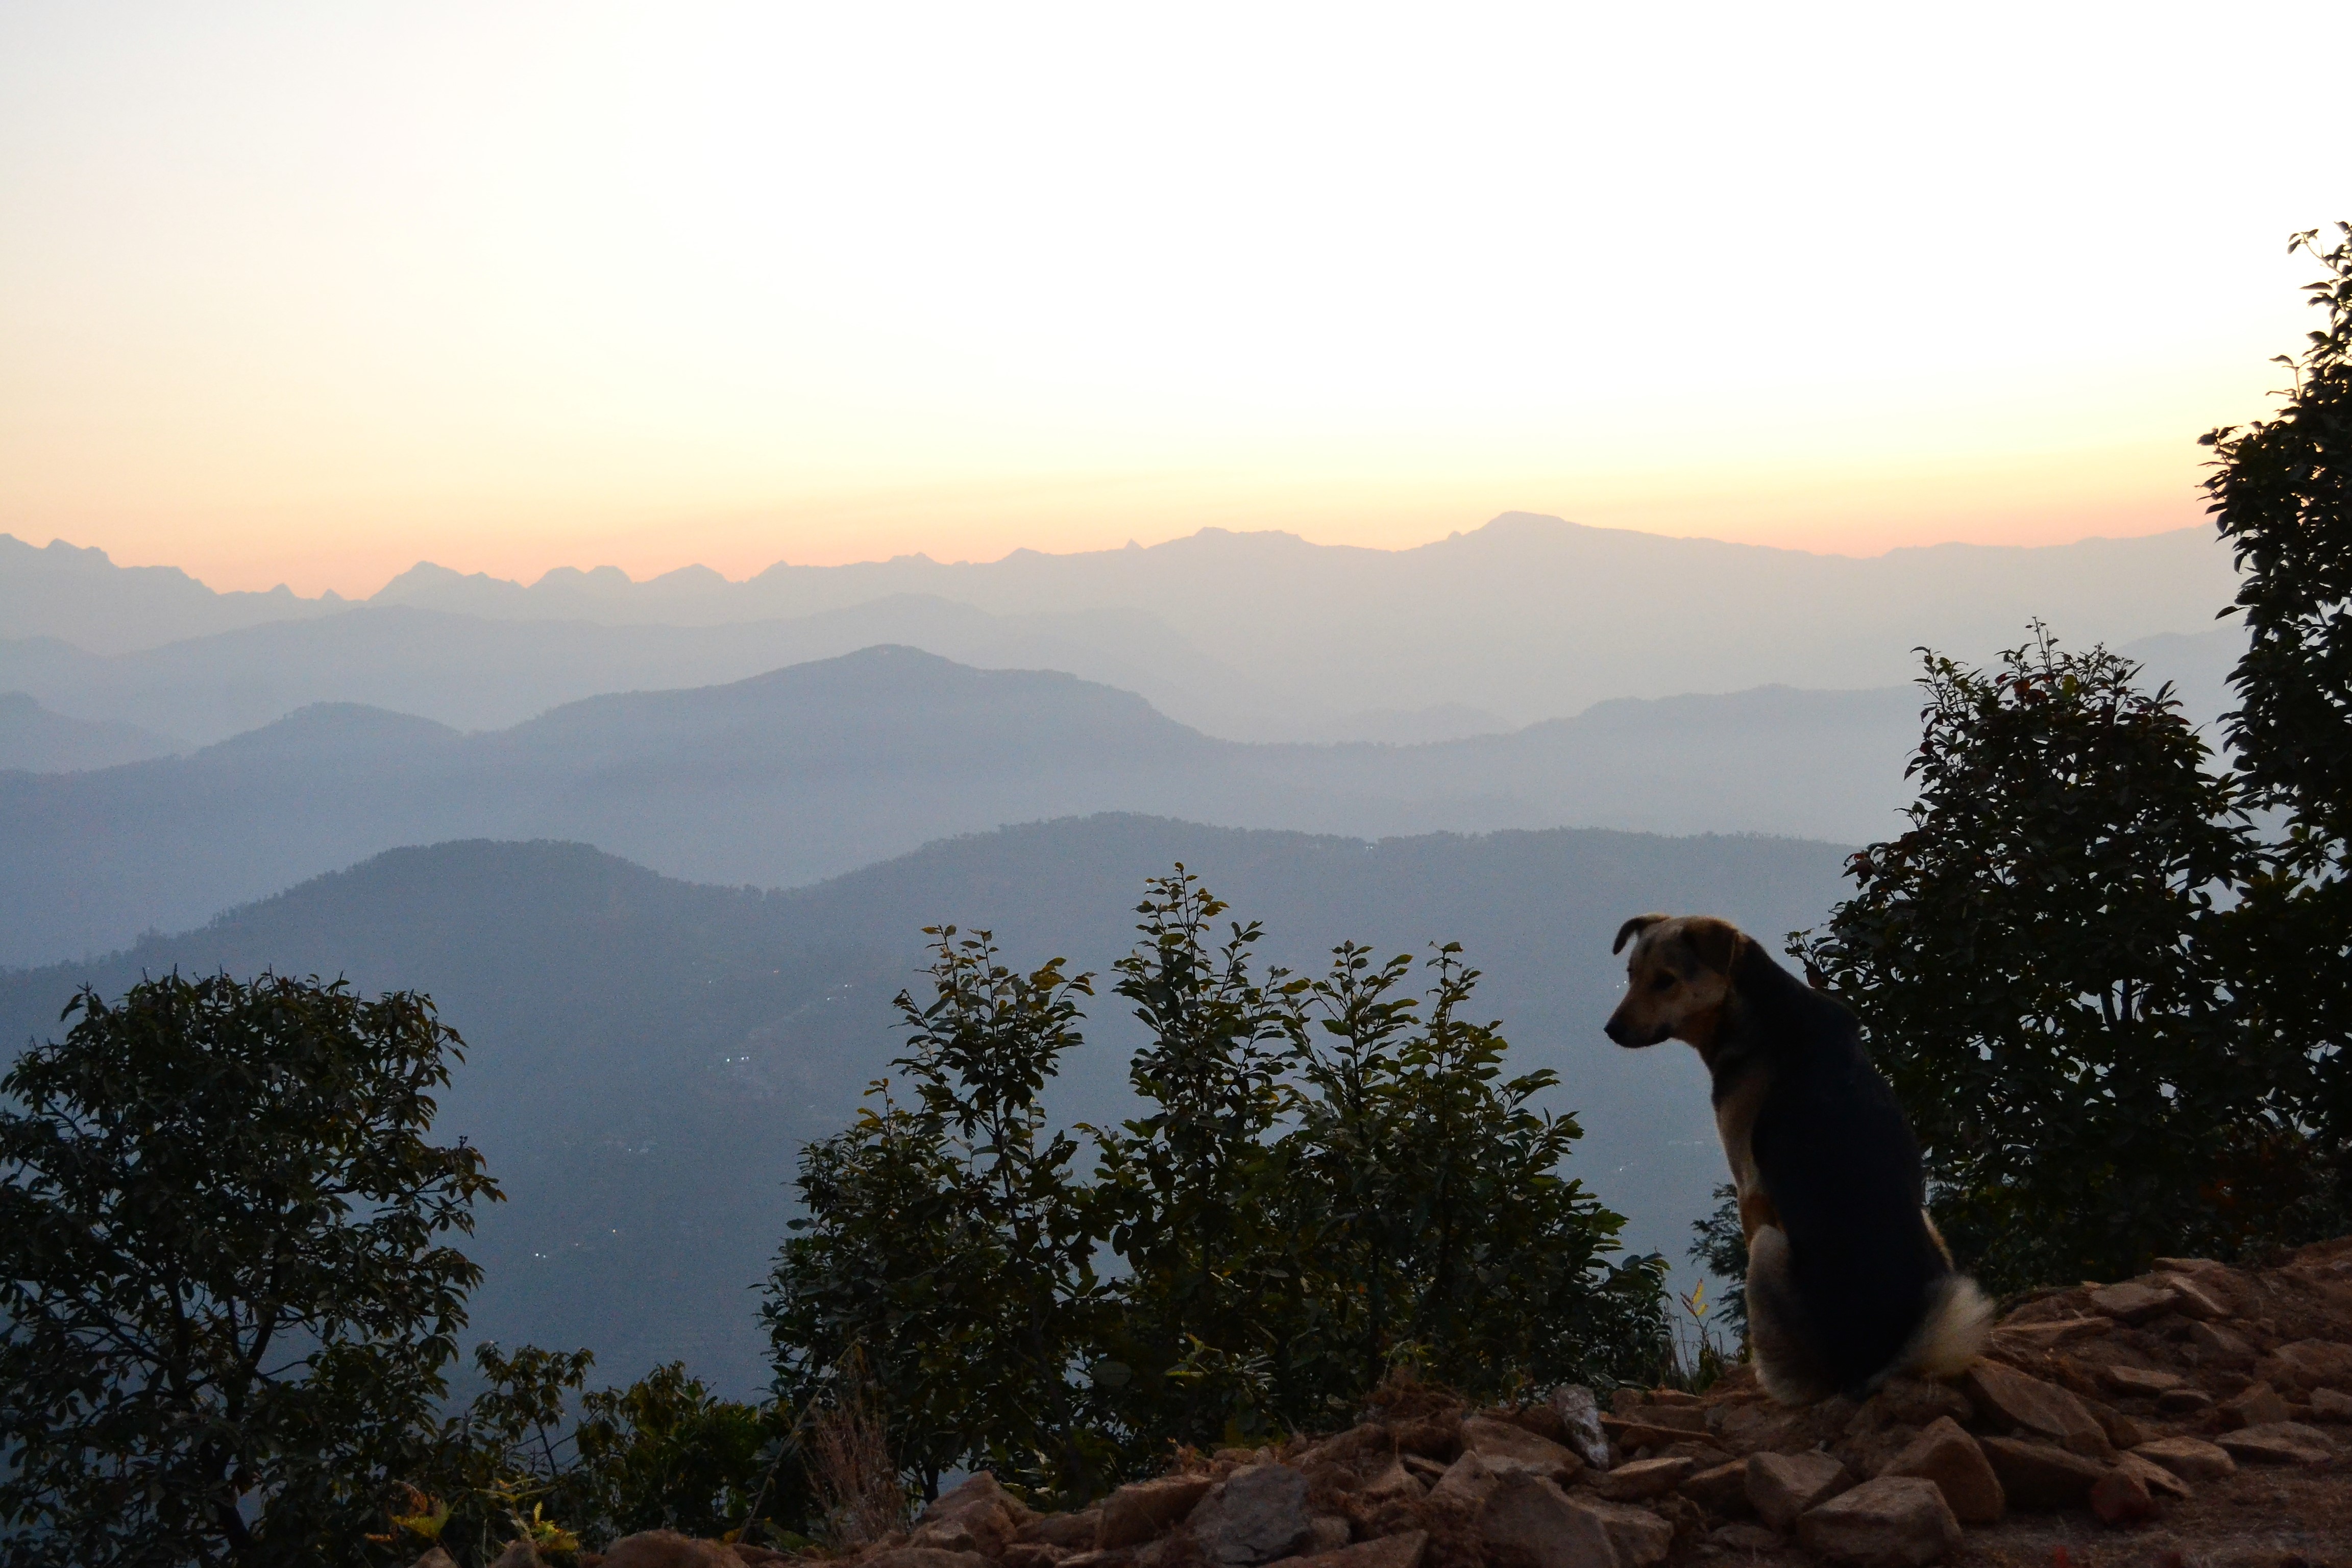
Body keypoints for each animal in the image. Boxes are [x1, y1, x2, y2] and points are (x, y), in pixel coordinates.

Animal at [1599, 912, 1985, 1401]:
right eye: (1631, 975)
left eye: (1665, 981)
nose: (1611, 1030)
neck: (1757, 1008)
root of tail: (1878, 1365)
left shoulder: (1750, 1189)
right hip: (1930, 1227)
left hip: (1770, 1254)